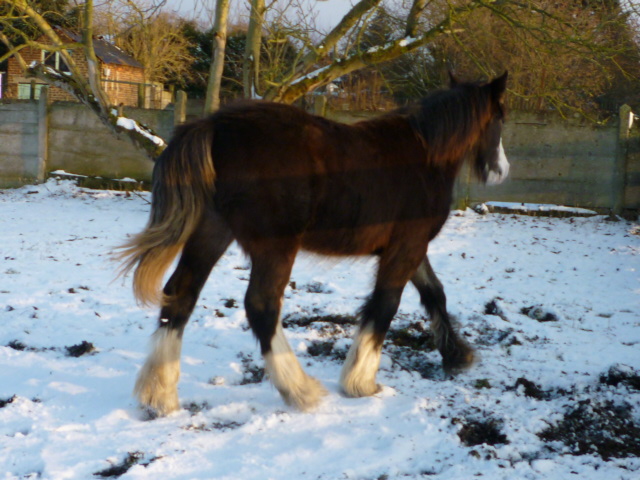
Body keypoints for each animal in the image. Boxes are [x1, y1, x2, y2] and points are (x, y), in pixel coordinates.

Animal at [119, 71, 510, 416]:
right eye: (500, 118)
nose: (501, 171)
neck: (425, 155)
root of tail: (215, 126)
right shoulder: (406, 248)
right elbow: (386, 305)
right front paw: (361, 382)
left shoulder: (410, 249)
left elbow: (434, 293)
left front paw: (457, 355)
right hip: (275, 247)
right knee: (261, 306)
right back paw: (300, 390)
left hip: (212, 232)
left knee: (180, 294)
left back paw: (159, 396)